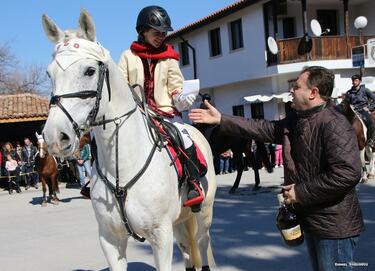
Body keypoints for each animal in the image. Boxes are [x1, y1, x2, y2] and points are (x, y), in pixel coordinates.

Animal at [41, 9, 217, 270]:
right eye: (49, 73)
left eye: (89, 71)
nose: (55, 136)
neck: (122, 168)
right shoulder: (109, 239)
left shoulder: (161, 237)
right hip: (179, 221)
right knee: (187, 249)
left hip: (204, 213)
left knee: (203, 244)